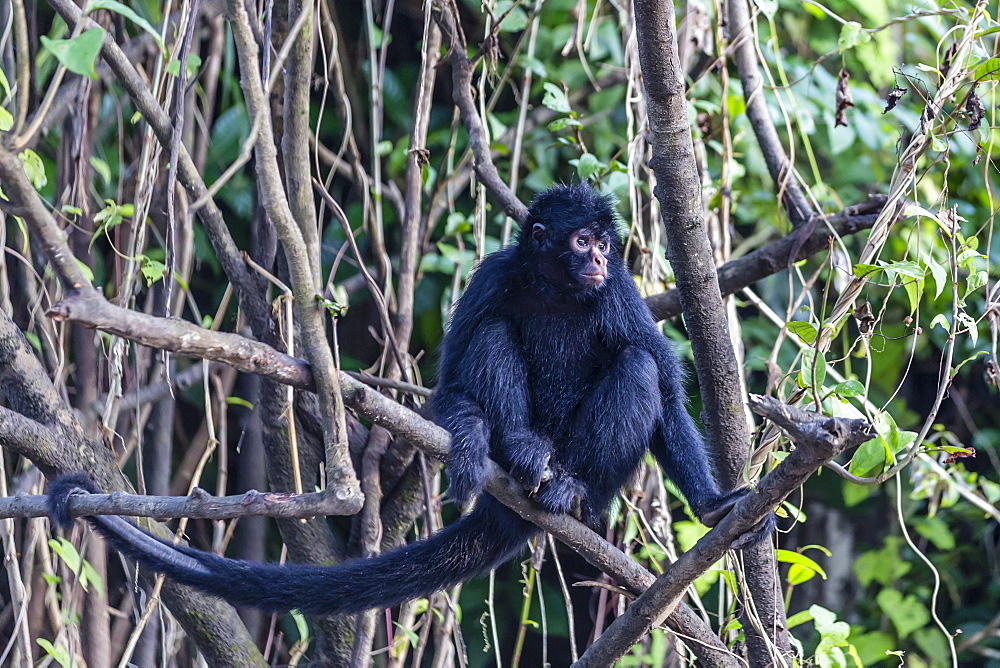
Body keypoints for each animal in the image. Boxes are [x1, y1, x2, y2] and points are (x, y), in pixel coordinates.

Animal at [47, 183, 768, 616]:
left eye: (605, 245)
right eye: (581, 240)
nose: (596, 258)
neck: (559, 288)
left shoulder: (618, 288)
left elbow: (665, 386)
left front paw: (711, 507)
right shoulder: (493, 276)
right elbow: (452, 385)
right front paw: (473, 438)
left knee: (637, 365)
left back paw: (569, 489)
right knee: (497, 334)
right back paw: (520, 452)